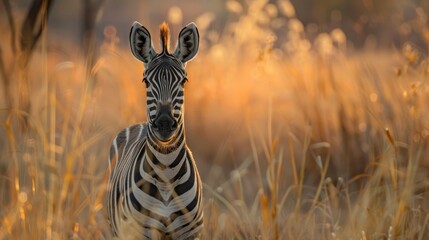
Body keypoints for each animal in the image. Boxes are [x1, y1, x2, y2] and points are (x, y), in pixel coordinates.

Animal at [106, 21, 201, 239]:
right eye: (146, 81)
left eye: (184, 81)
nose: (164, 124)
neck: (166, 173)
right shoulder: (142, 231)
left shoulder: (189, 233)